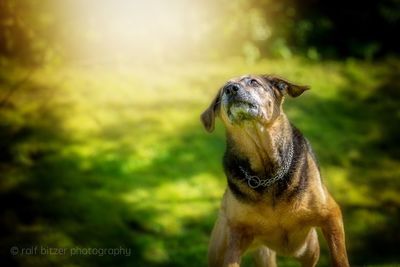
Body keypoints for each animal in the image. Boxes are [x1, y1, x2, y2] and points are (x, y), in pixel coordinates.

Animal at [202, 75, 348, 267]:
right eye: (222, 91)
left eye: (253, 82)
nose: (231, 89)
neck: (268, 174)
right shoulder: (236, 232)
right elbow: (232, 258)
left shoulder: (331, 215)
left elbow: (339, 256)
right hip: (221, 248)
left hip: (310, 249)